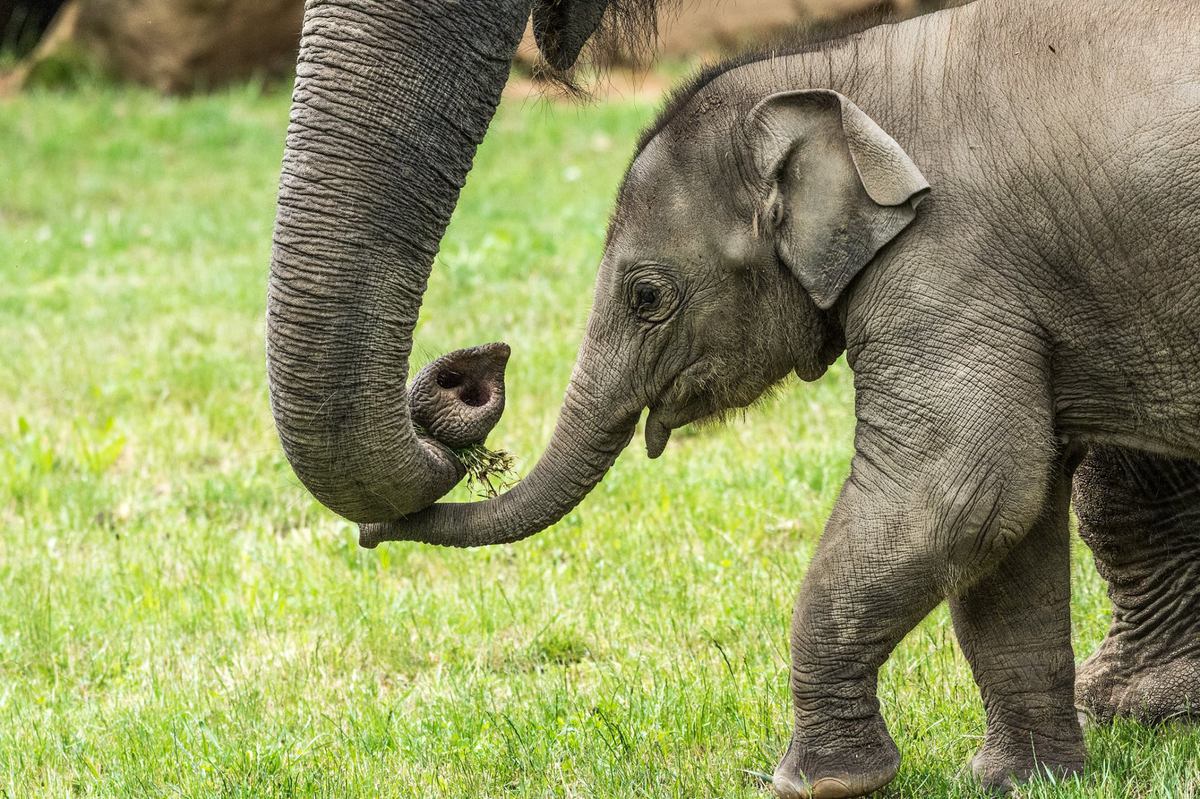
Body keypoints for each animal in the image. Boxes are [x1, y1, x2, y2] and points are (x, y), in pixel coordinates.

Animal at [369, 0, 1195, 791]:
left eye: (646, 296)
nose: (482, 364)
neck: (839, 69)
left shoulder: (948, 260)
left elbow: (962, 487)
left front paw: (818, 783)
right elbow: (1014, 522)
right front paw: (1018, 782)